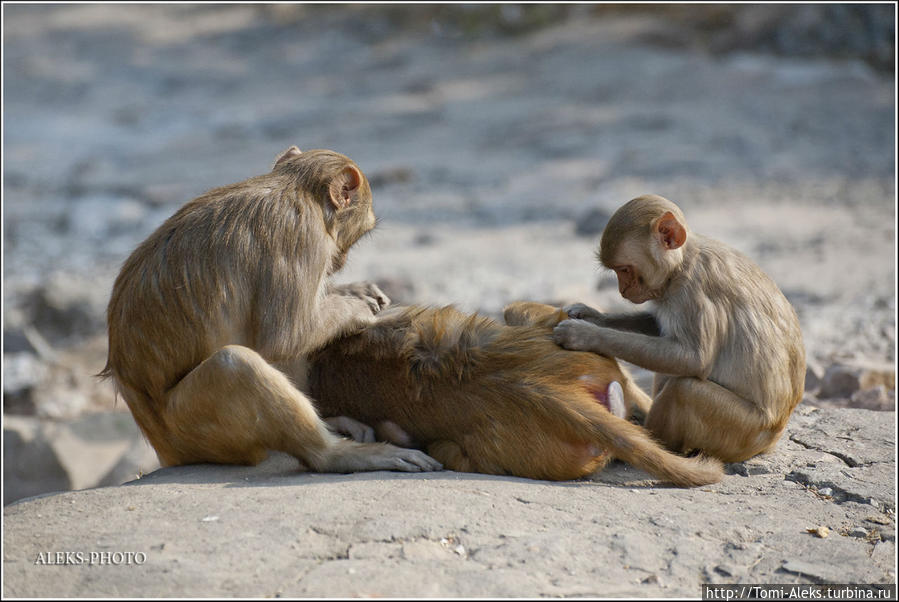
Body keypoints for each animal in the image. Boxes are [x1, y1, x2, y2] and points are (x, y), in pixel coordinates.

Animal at [100, 146, 442, 474]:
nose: (341, 261)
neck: (297, 189)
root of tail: (160, 444)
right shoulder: (302, 235)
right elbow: (286, 335)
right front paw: (356, 305)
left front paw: (354, 290)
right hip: (191, 432)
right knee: (235, 364)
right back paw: (336, 455)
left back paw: (332, 423)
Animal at [556, 195, 808, 462]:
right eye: (617, 271)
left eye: (624, 269)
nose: (622, 290)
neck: (682, 264)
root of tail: (773, 437)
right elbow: (657, 326)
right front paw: (589, 314)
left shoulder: (695, 292)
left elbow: (694, 359)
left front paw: (584, 334)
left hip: (742, 431)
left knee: (683, 389)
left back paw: (645, 436)